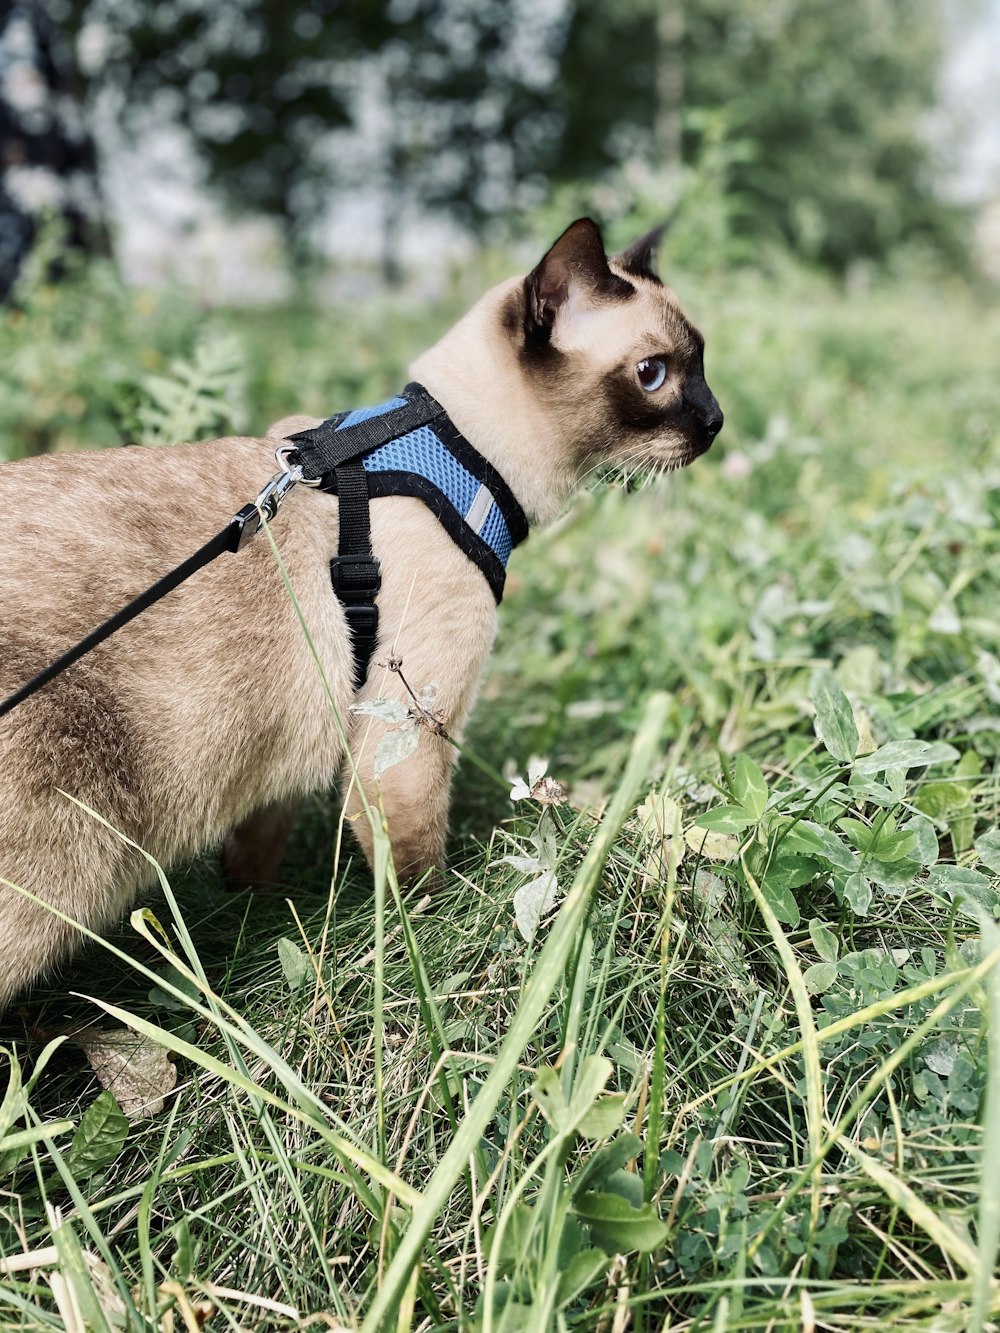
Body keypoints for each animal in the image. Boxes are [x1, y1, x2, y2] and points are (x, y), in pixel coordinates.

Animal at [0, 218, 725, 1002]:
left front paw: (249, 912)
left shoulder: (295, 745)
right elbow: (419, 884)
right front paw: (435, 946)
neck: (463, 451)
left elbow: (259, 843)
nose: (716, 421)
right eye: (653, 374)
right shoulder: (403, 744)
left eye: (702, 364)